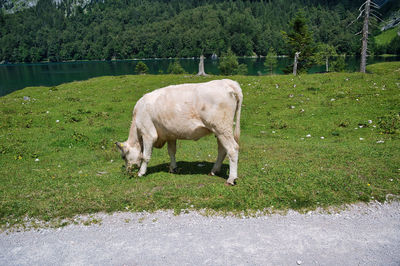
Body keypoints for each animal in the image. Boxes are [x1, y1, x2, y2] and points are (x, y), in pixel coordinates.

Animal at [114, 79, 242, 185]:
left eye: (123, 156)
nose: (128, 170)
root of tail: (228, 82)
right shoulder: (170, 134)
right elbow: (171, 152)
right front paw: (173, 168)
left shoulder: (148, 133)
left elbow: (145, 156)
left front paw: (141, 172)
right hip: (220, 131)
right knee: (222, 150)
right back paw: (214, 171)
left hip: (222, 128)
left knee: (232, 149)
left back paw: (231, 179)